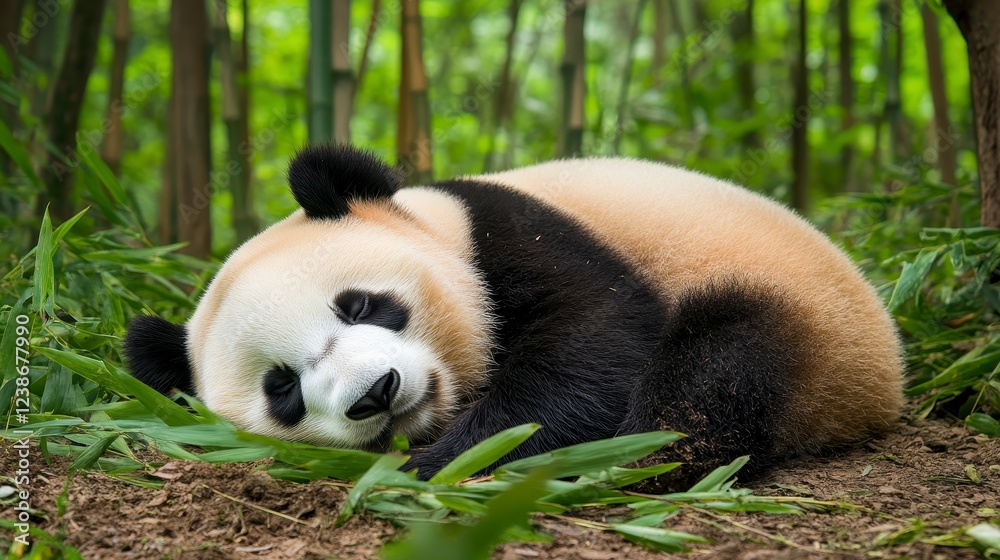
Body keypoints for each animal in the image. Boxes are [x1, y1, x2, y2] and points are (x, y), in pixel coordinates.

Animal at [125, 144, 903, 486]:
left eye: (362, 304)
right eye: (281, 388)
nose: (377, 393)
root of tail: (881, 387)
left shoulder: (509, 232)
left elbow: (591, 341)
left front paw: (444, 459)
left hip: (798, 304)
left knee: (722, 361)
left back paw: (645, 455)